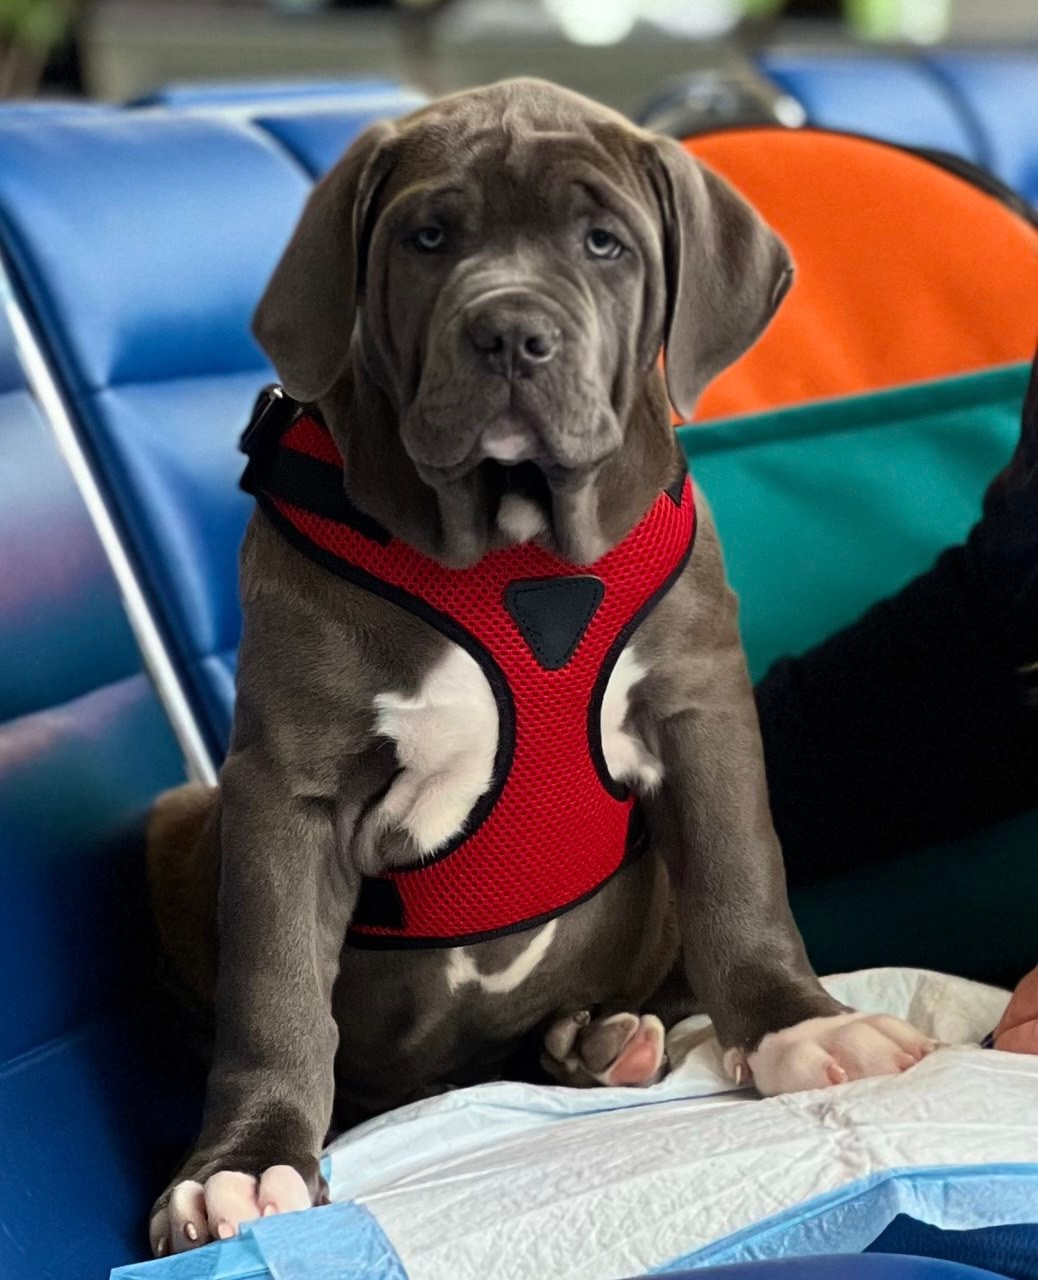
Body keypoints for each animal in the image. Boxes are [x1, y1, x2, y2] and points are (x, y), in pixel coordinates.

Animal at [146, 78, 934, 1257]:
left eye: (603, 242)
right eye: (428, 237)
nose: (510, 333)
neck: (510, 542)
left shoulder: (702, 712)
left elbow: (743, 880)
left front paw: (799, 1028)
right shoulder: (286, 788)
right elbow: (274, 985)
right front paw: (244, 1165)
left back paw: (600, 1041)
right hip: (174, 820)